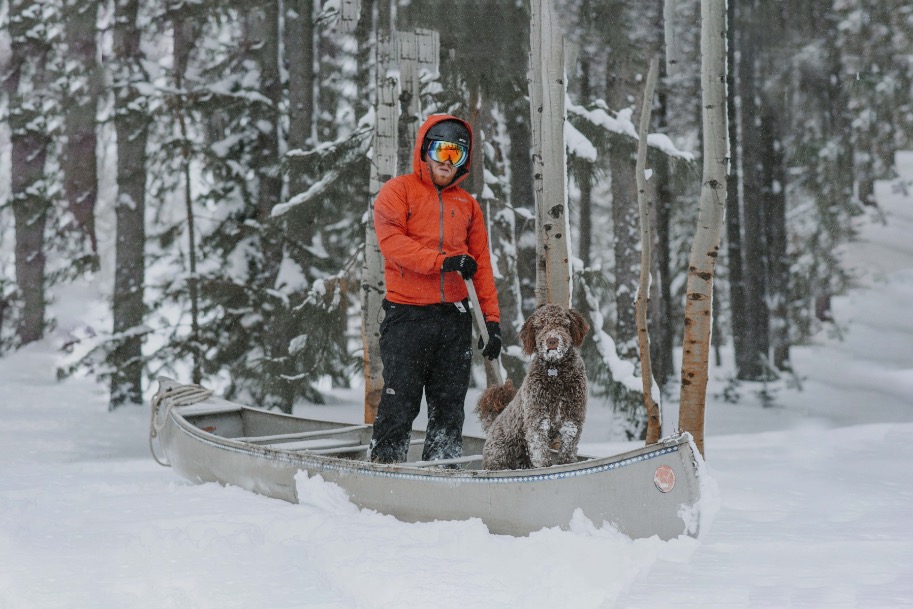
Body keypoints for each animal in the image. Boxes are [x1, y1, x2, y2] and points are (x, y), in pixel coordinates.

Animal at [474, 304, 588, 470]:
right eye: (540, 326)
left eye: (563, 324)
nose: (552, 341)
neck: (555, 372)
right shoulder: (537, 416)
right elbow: (539, 448)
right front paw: (546, 466)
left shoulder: (572, 416)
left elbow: (568, 446)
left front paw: (566, 463)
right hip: (501, 453)